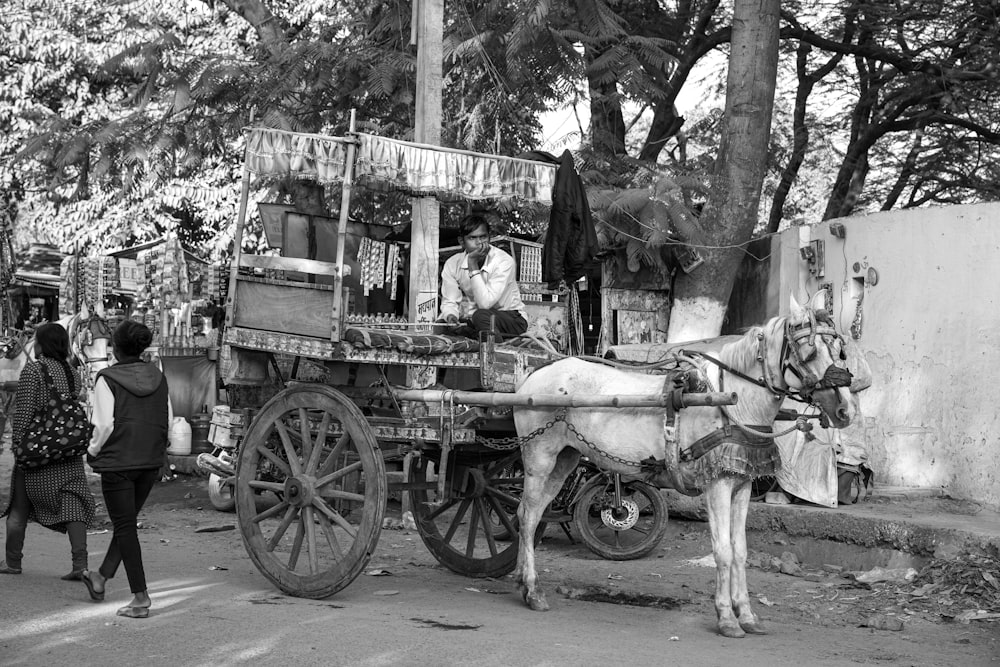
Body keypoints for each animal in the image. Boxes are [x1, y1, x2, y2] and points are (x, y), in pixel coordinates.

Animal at [512, 292, 856, 636]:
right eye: (810, 351)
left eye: (839, 350)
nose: (846, 411)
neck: (733, 403)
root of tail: (533, 376)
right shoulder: (717, 483)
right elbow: (723, 550)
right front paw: (726, 617)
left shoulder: (742, 482)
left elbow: (740, 550)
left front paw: (746, 614)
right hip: (539, 456)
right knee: (527, 516)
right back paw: (533, 589)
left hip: (565, 459)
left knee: (530, 513)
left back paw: (519, 579)